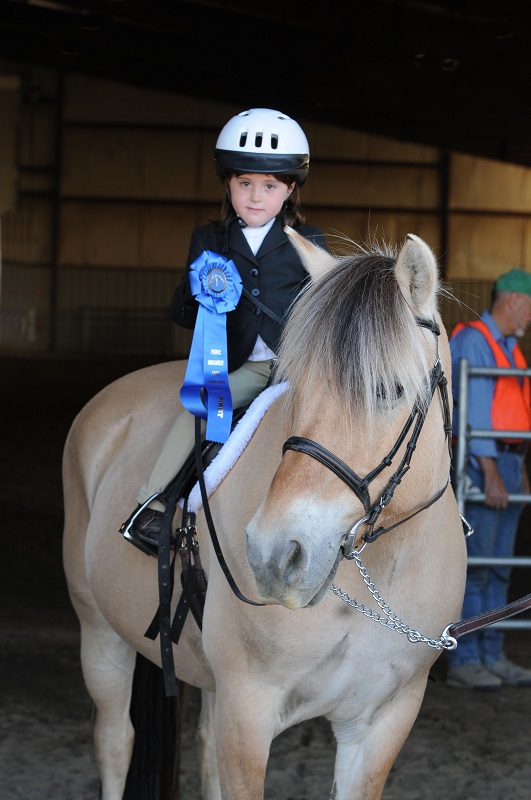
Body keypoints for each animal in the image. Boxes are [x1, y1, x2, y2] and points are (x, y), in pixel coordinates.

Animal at [62, 230, 467, 800]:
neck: (373, 581)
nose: (274, 555)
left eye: (389, 390)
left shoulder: (383, 722)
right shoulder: (248, 710)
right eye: (297, 387)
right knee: (116, 741)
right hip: (98, 629)